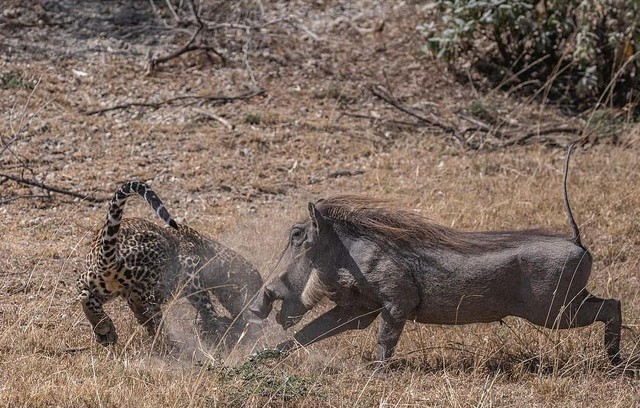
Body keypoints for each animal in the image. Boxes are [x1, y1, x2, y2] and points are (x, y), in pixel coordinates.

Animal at [77, 181, 262, 348]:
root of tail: (104, 254)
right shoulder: (190, 267)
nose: (257, 313)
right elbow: (203, 302)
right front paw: (215, 326)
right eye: (253, 288)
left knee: (84, 293)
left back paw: (105, 329)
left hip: (100, 282)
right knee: (136, 295)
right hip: (154, 254)